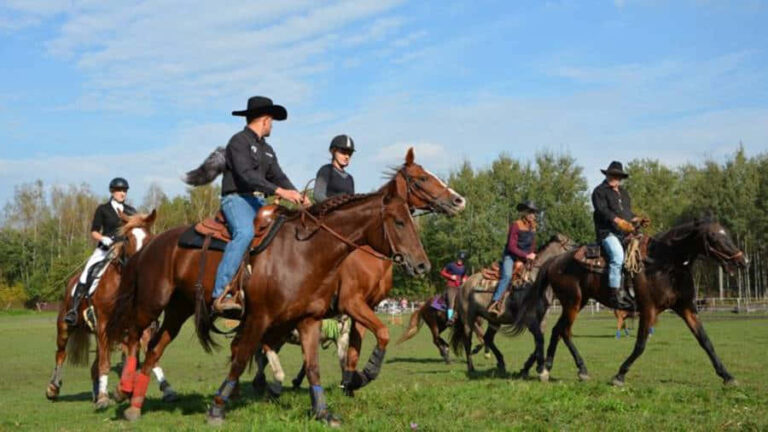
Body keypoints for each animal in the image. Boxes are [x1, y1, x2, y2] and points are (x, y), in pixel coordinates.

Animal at [44, 213, 177, 408]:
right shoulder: (103, 324)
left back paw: (97, 392)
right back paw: (53, 388)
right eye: (127, 238)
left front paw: (166, 390)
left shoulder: (139, 328)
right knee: (61, 354)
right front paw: (105, 397)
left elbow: (149, 358)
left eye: (149, 238)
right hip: (66, 326)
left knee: (95, 366)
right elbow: (106, 364)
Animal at [106, 150, 448, 424]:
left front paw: (330, 404)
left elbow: (319, 363)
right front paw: (217, 407)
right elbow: (243, 356)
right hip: (151, 302)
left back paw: (136, 404)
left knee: (155, 347)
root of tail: (150, 245)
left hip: (179, 309)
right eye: (399, 222)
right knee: (132, 337)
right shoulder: (275, 315)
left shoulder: (311, 318)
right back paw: (124, 390)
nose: (422, 265)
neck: (306, 252)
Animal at [450, 235, 568, 380]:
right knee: (468, 342)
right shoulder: (530, 320)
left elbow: (539, 342)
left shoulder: (542, 321)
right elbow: (539, 340)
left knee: (487, 338)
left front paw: (526, 368)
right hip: (468, 319)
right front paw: (538, 368)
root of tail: (463, 285)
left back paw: (500, 362)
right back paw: (471, 367)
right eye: (573, 245)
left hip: (494, 320)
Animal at [512, 218, 748, 386]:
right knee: (564, 331)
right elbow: (640, 344)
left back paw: (553, 369)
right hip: (572, 303)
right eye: (714, 237)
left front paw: (727, 375)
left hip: (578, 302)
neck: (665, 263)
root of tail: (555, 261)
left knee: (558, 331)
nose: (743, 261)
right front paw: (620, 375)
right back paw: (565, 369)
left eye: (726, 233)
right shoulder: (648, 310)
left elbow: (705, 341)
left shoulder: (686, 308)